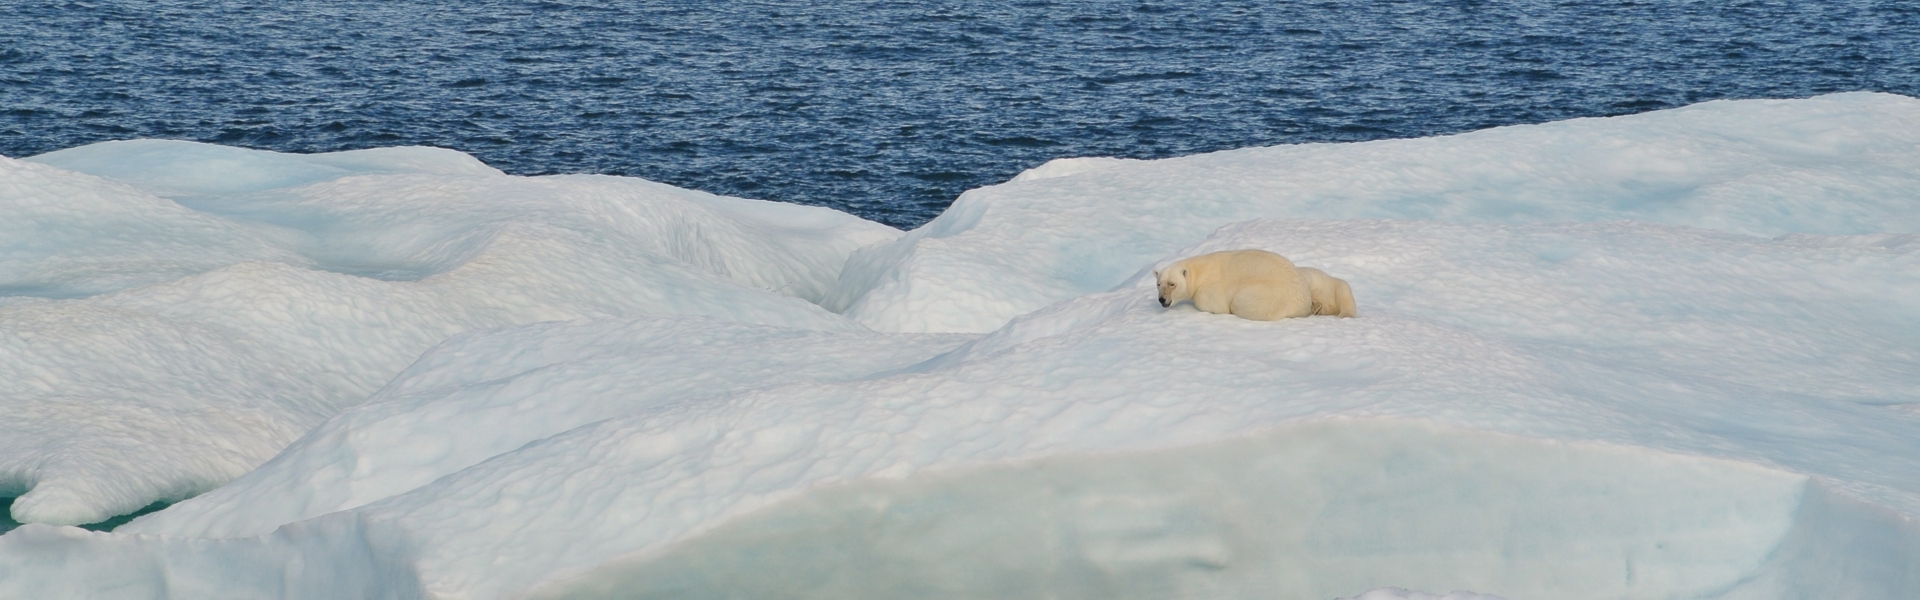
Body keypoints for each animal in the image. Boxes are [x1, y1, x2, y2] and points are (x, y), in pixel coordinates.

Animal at [1152, 248, 1351, 321]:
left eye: (1172, 284)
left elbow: (1215, 306)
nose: (1162, 300)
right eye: (1158, 283)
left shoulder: (1209, 290)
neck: (1199, 271)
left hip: (1267, 297)